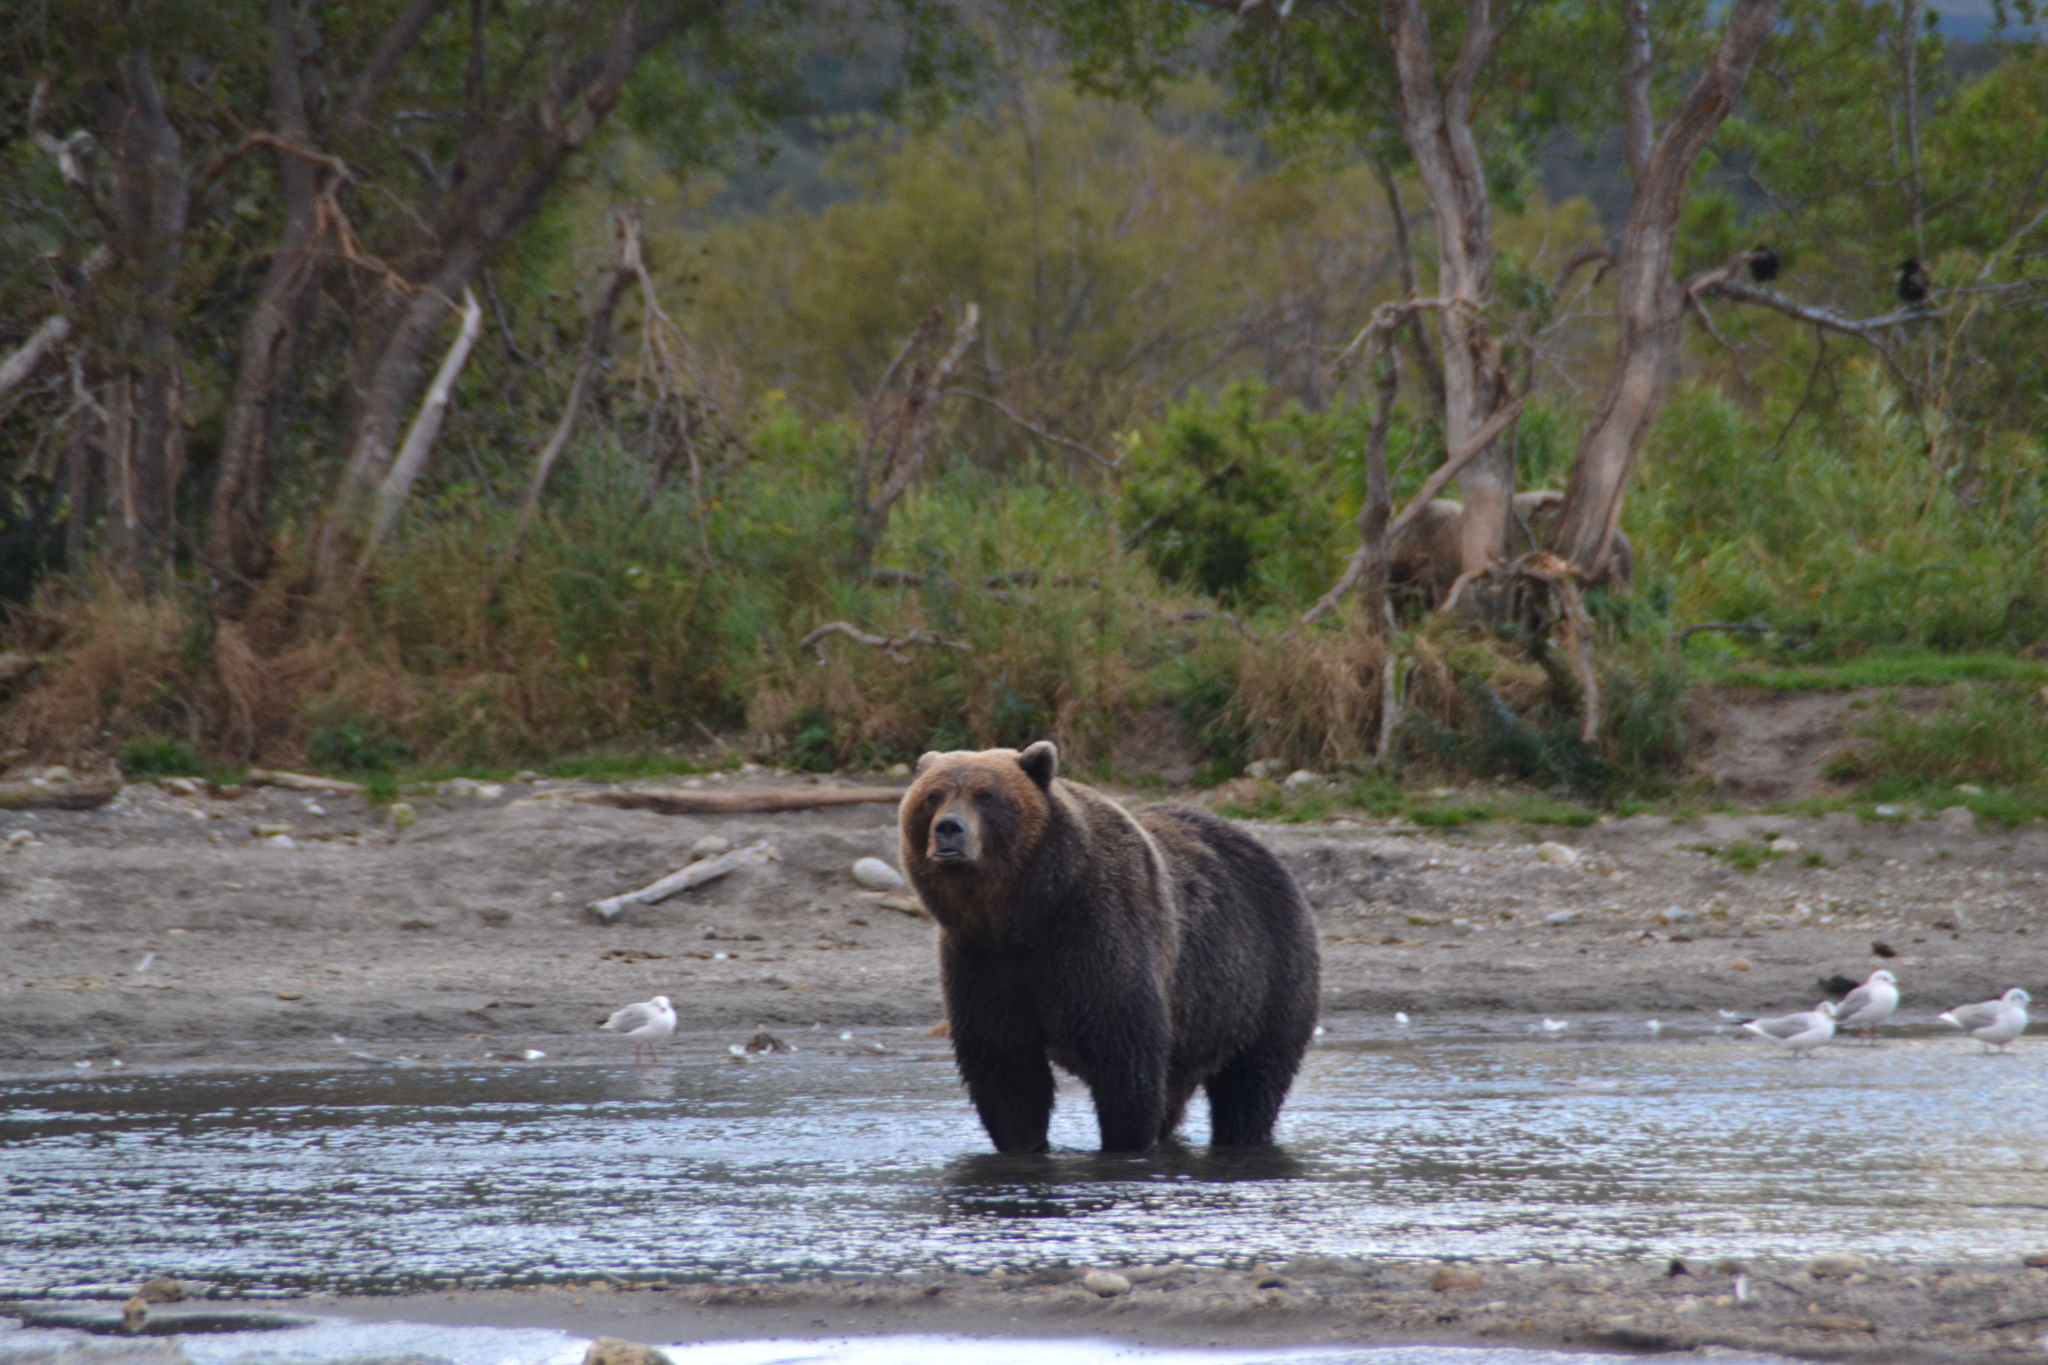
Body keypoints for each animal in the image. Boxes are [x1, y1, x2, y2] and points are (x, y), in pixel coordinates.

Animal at [901, 749, 1318, 1154]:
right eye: (933, 796)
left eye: (986, 796)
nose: (949, 828)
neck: (1025, 914)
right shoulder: (980, 957)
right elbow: (1006, 1064)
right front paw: (1023, 1141)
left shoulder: (1098, 936)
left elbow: (1122, 1056)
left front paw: (1126, 1141)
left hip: (1264, 976)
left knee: (1253, 1080)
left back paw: (1241, 1134)